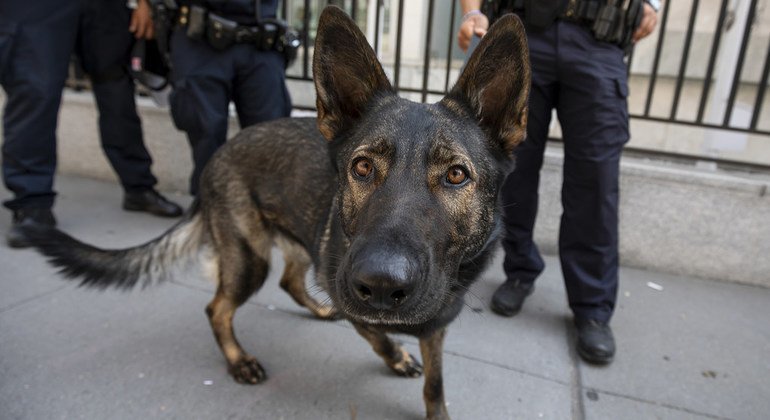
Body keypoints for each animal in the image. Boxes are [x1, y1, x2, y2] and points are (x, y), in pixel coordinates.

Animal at [25, 7, 528, 420]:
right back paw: (239, 360)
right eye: (362, 167)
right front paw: (395, 353)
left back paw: (319, 312)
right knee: (217, 307)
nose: (380, 285)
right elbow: (378, 334)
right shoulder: (350, 293)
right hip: (249, 259)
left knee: (289, 282)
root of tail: (220, 152)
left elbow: (435, 383)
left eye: (456, 175)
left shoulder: (433, 326)